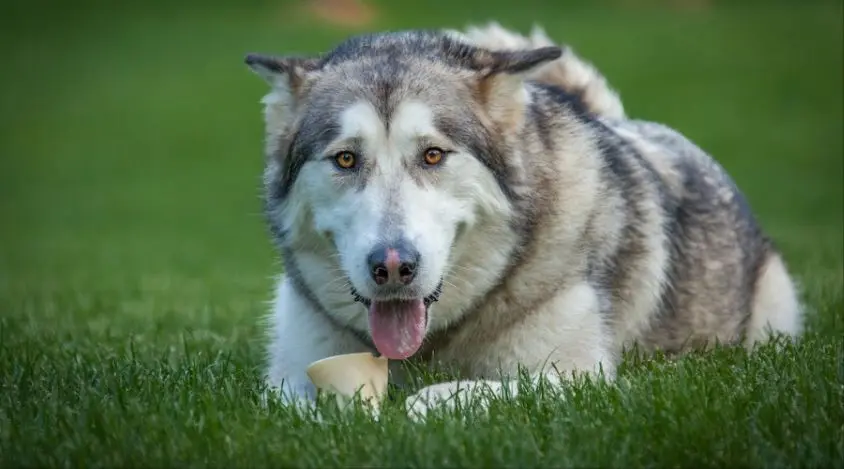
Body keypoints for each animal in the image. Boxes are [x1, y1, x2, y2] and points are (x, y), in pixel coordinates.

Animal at [246, 21, 804, 416]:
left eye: (432, 155)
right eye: (345, 159)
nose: (393, 267)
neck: (431, 346)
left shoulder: (582, 379)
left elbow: (435, 397)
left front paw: (412, 405)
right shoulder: (285, 377)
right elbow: (291, 402)